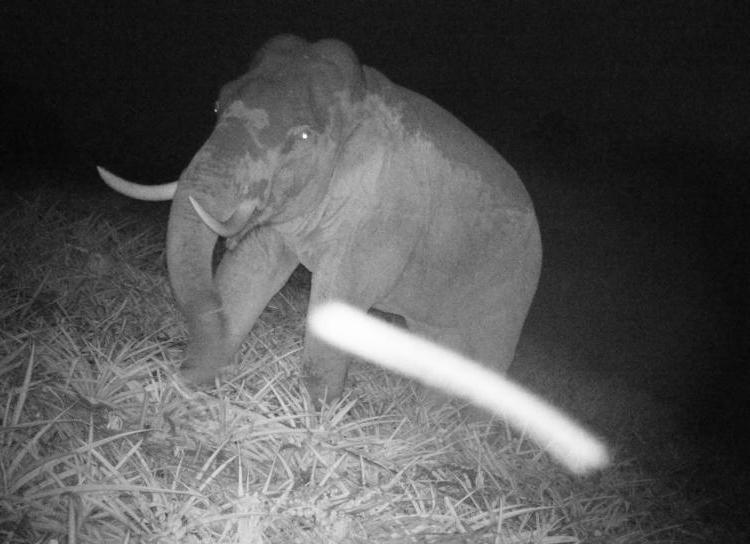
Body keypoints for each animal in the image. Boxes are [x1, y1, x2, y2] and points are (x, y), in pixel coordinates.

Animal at [101, 35, 548, 404]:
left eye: (302, 138)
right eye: (215, 107)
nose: (182, 369)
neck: (362, 96)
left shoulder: (384, 213)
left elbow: (340, 298)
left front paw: (316, 419)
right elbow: (250, 270)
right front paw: (188, 385)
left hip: (512, 285)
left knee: (488, 355)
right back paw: (428, 420)